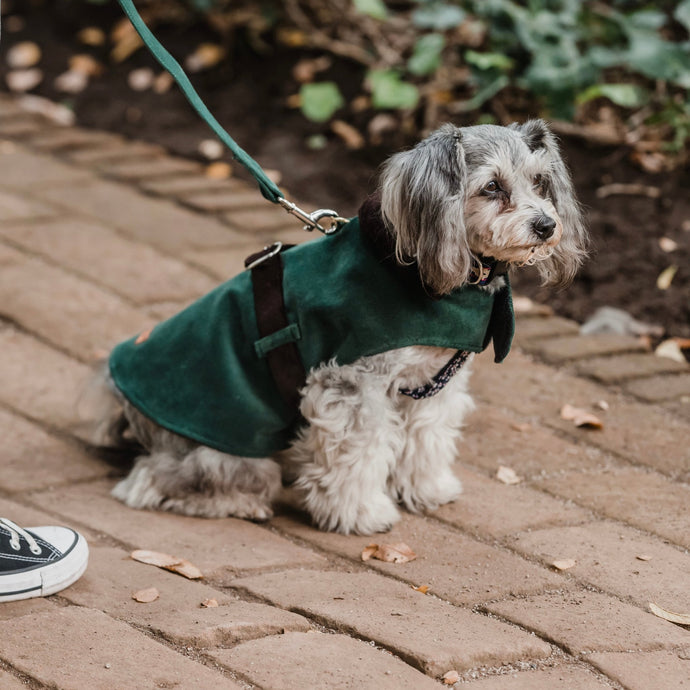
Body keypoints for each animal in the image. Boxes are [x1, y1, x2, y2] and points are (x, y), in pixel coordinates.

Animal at [91, 121, 584, 536]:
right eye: (492, 186)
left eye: (540, 182)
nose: (546, 225)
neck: (416, 271)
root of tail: (121, 398)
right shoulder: (352, 384)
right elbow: (359, 453)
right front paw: (362, 513)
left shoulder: (431, 381)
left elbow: (426, 437)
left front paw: (426, 489)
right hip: (229, 446)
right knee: (154, 480)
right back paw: (239, 501)